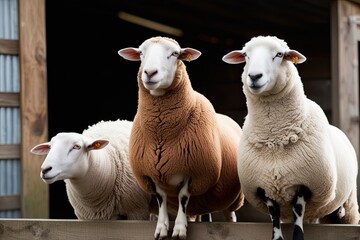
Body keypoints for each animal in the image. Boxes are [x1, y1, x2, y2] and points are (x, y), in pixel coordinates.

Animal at [118, 36, 245, 239]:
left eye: (175, 53)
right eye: (141, 53)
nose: (149, 73)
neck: (162, 134)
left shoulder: (194, 172)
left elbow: (183, 197)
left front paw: (179, 228)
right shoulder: (153, 173)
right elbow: (162, 199)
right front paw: (162, 228)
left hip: (231, 196)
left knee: (229, 215)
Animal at [222, 34, 360, 239]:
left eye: (279, 54)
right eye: (246, 55)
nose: (254, 76)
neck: (275, 136)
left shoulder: (303, 184)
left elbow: (298, 216)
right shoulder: (266, 188)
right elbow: (275, 219)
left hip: (349, 202)